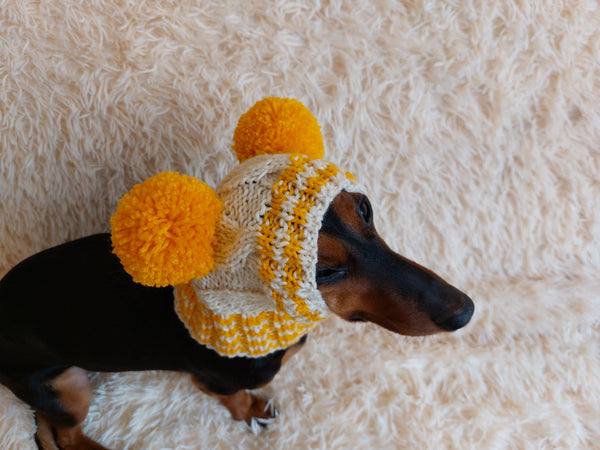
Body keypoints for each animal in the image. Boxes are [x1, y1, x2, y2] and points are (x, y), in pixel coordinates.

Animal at [0, 188, 474, 448]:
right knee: (64, 436)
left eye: (364, 208)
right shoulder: (213, 380)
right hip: (68, 383)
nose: (465, 311)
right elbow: (236, 398)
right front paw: (252, 411)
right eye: (323, 271)